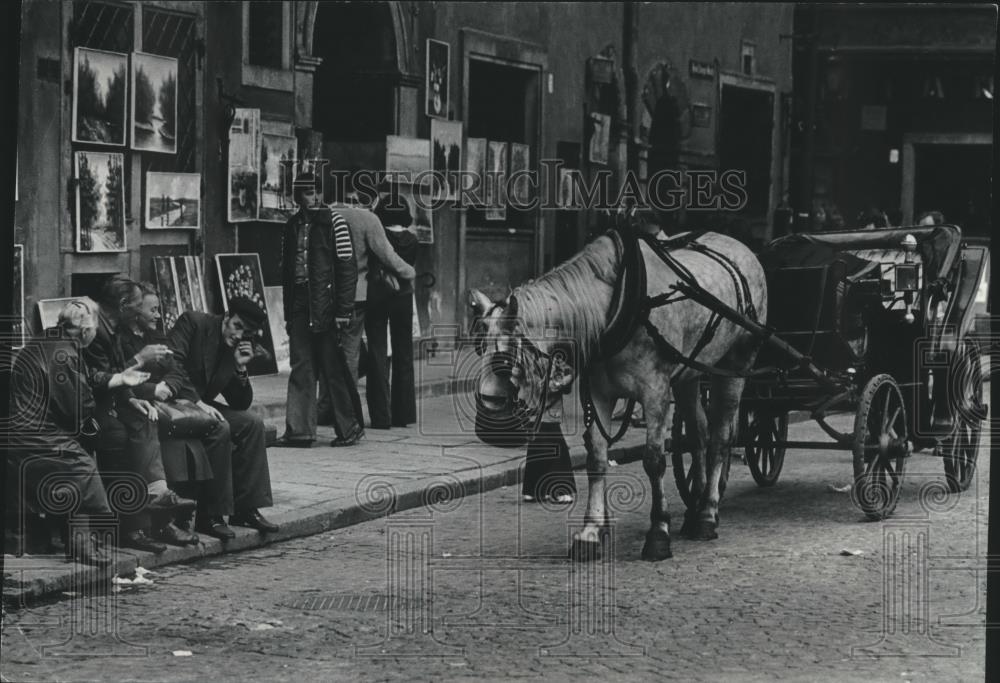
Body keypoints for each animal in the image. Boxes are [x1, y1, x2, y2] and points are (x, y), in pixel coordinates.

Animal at [472, 228, 768, 560]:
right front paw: (590, 533)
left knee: (721, 437)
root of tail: (743, 247)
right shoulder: (600, 393)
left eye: (508, 353)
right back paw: (694, 511)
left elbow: (654, 459)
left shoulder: (655, 391)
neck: (619, 307)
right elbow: (597, 457)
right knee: (699, 435)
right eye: (480, 347)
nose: (490, 404)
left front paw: (658, 533)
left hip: (736, 363)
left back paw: (707, 514)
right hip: (690, 374)